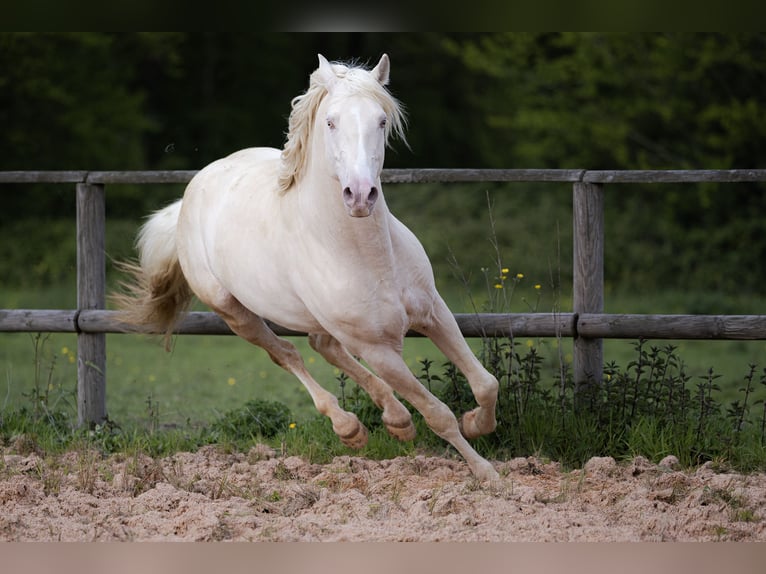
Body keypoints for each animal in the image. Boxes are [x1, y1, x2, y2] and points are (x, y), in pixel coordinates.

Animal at [115, 55, 498, 482]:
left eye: (382, 120)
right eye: (330, 122)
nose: (360, 195)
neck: (371, 256)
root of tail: (192, 193)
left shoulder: (433, 312)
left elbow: (486, 383)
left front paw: (477, 425)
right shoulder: (377, 348)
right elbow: (438, 414)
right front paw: (487, 473)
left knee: (323, 346)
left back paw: (395, 420)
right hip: (233, 311)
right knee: (286, 354)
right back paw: (350, 427)